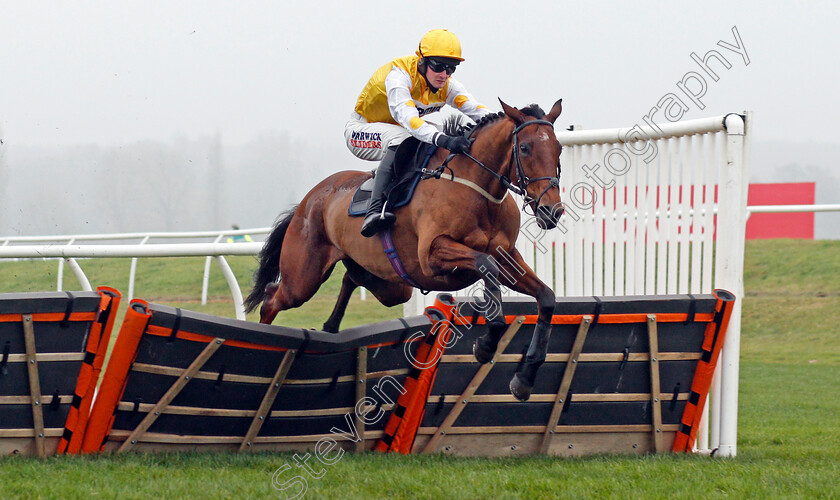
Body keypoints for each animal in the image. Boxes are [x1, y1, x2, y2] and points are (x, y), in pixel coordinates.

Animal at [246, 99, 568, 400]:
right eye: (524, 148)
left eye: (558, 149)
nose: (551, 211)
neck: (476, 189)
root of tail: (310, 198)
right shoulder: (433, 256)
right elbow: (485, 264)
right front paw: (487, 343)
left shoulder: (509, 258)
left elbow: (546, 297)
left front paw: (524, 377)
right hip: (303, 277)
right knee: (272, 298)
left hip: (389, 284)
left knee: (351, 278)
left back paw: (330, 325)